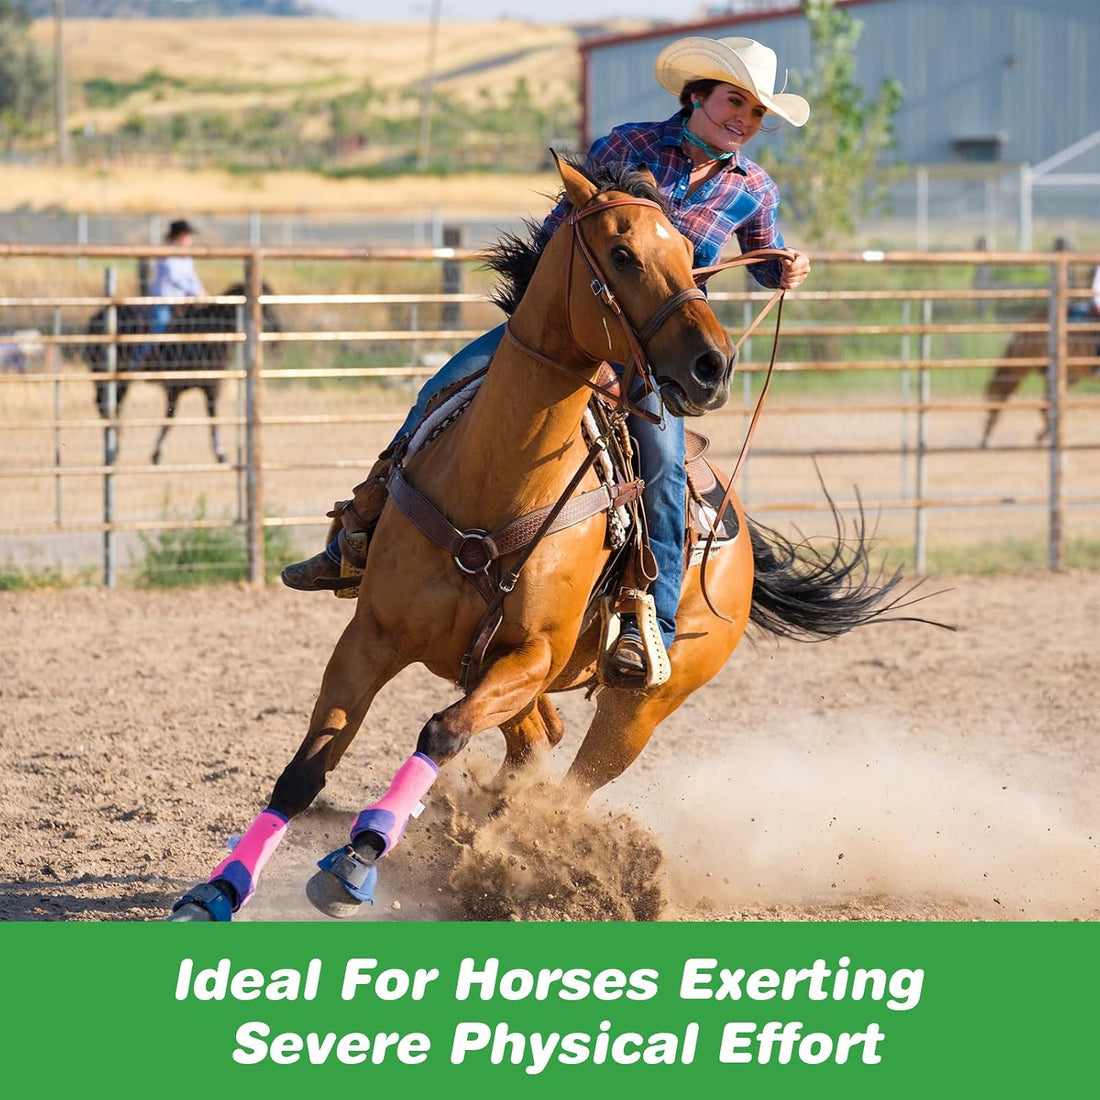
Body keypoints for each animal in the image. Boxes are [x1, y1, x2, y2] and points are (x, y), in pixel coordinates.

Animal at [83, 282, 281, 465]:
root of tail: (94, 320)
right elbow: (175, 417)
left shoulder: (210, 384)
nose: (278, 331)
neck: (207, 332)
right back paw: (114, 449)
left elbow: (208, 414)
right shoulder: (179, 386)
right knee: (107, 405)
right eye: (263, 304)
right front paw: (158, 454)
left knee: (108, 405)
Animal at [168, 157, 916, 923]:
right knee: (530, 754)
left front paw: (357, 862)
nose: (713, 367)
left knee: (568, 783)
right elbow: (303, 771)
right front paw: (218, 890)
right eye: (622, 254)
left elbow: (441, 731)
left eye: (691, 257)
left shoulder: (530, 655)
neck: (496, 482)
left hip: (638, 707)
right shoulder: (372, 637)